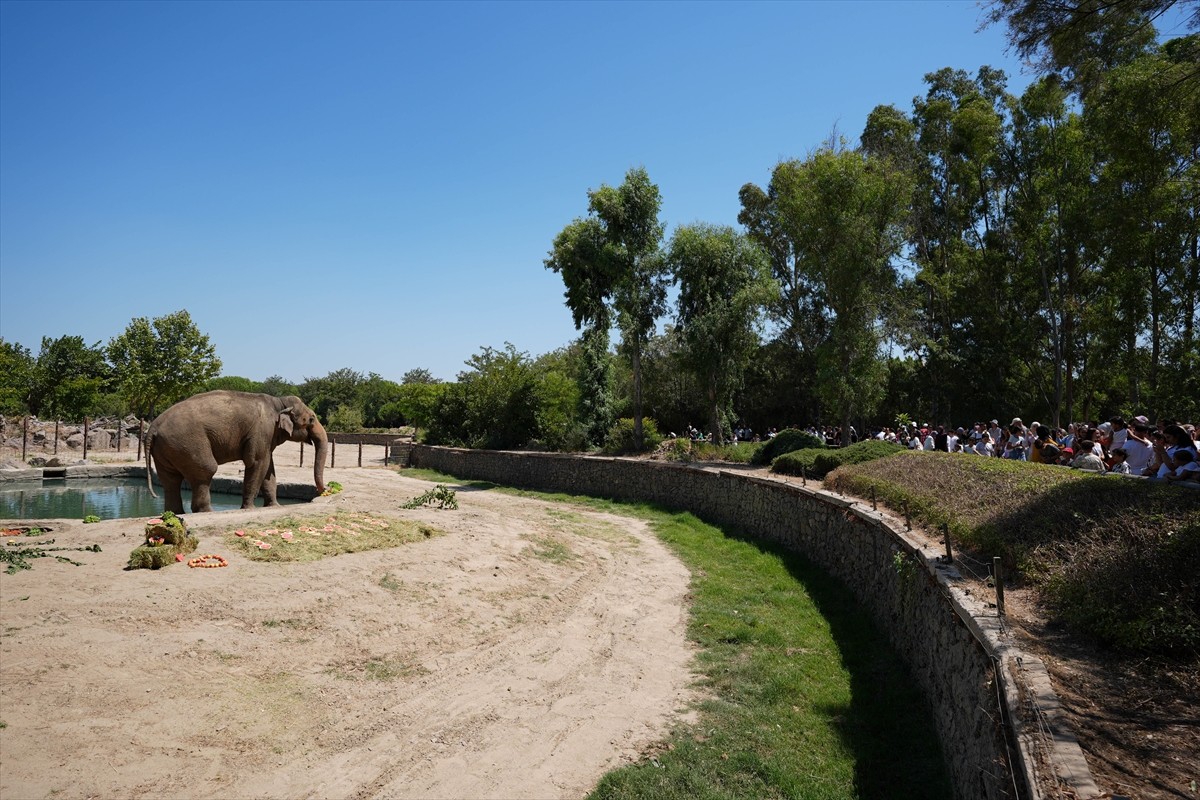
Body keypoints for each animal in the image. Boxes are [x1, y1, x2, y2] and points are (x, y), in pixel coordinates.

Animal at [144, 393, 328, 513]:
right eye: (311, 419)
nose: (324, 490)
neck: (279, 402)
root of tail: (152, 428)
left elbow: (269, 468)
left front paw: (275, 507)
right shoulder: (262, 430)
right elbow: (257, 462)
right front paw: (249, 508)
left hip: (166, 449)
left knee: (170, 481)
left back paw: (175, 514)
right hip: (188, 443)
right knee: (205, 471)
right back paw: (206, 512)